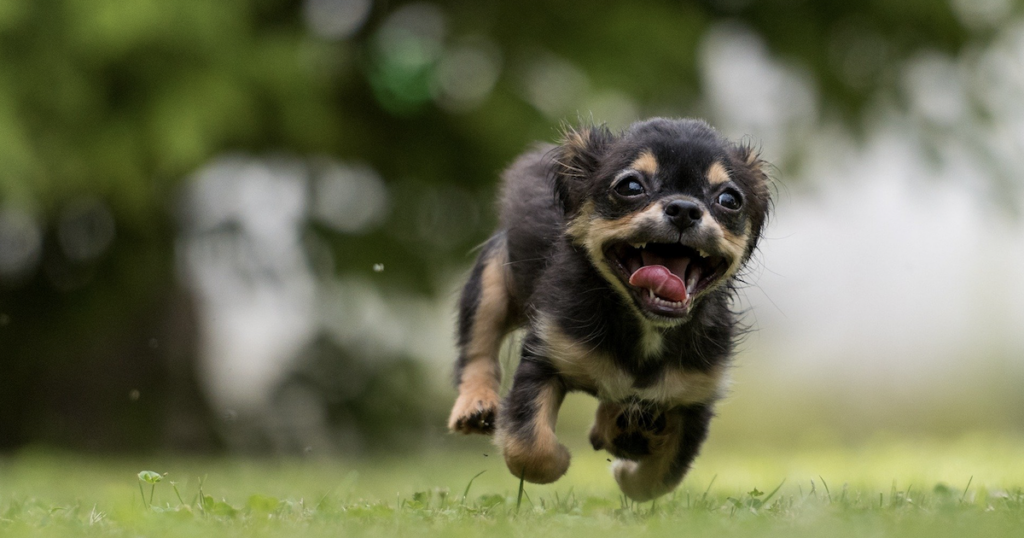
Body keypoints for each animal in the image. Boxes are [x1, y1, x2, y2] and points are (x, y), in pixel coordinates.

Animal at [446, 116, 770, 500]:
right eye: (630, 186)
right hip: (491, 283)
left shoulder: (694, 397)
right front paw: (561, 459)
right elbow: (529, 449)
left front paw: (626, 470)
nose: (685, 209)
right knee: (478, 348)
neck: (645, 326)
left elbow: (659, 479)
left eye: (729, 199)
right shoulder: (545, 356)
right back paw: (475, 405)